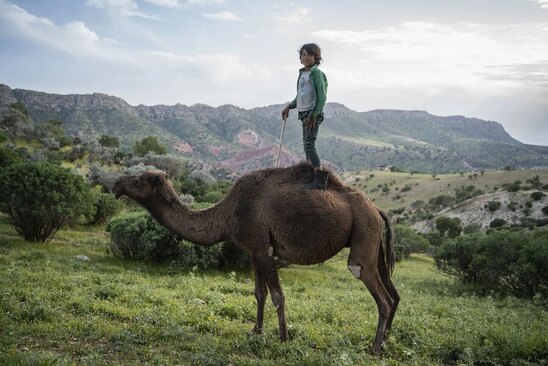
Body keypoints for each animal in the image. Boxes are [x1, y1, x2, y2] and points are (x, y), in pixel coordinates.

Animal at [113, 163, 400, 354]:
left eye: (138, 181)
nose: (116, 184)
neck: (227, 214)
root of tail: (377, 209)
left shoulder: (263, 250)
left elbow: (277, 296)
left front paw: (284, 338)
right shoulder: (253, 250)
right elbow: (259, 293)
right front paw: (256, 330)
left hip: (363, 237)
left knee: (378, 293)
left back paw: (375, 348)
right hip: (373, 242)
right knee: (394, 294)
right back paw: (386, 338)